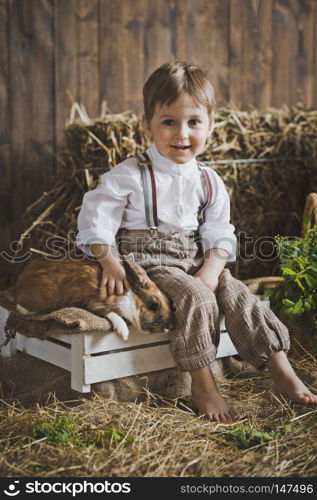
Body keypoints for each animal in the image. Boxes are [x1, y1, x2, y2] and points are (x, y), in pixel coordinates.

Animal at [14, 254, 173, 340]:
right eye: (153, 305)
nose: (168, 328)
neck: (129, 297)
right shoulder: (94, 303)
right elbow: (111, 313)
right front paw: (123, 332)